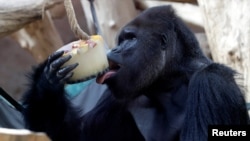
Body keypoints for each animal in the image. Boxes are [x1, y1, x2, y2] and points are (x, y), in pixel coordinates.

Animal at [22, 5, 250, 141]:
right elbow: (78, 135)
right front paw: (47, 84)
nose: (114, 50)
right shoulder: (120, 96)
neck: (169, 81)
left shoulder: (211, 82)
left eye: (130, 39)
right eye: (120, 41)